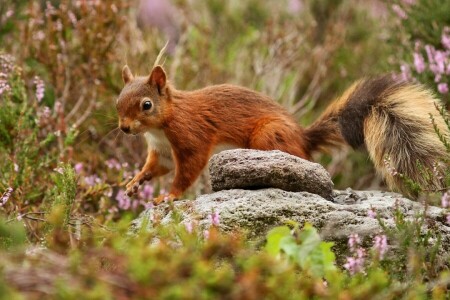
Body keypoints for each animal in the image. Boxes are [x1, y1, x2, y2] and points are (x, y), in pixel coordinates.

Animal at [117, 63, 450, 204]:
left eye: (146, 105)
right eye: (118, 101)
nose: (123, 128)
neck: (160, 128)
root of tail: (303, 138)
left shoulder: (191, 137)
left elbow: (186, 170)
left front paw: (168, 196)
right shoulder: (161, 151)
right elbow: (155, 167)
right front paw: (134, 183)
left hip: (268, 135)